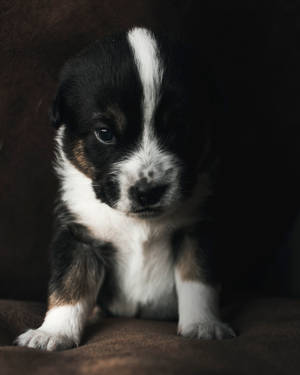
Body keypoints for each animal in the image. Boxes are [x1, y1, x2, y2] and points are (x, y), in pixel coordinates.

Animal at [16, 27, 236, 352]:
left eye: (179, 128)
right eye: (105, 133)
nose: (148, 191)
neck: (138, 222)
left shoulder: (196, 228)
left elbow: (198, 278)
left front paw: (203, 324)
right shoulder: (79, 234)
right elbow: (69, 283)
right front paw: (52, 332)